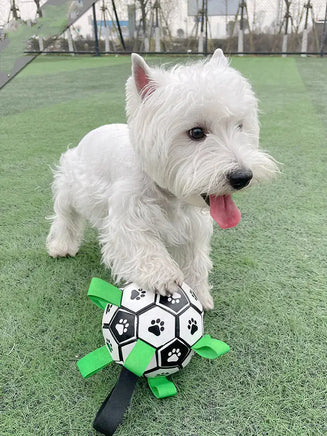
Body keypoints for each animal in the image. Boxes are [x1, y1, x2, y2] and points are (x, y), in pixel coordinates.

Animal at [46, 50, 276, 310]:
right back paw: (61, 246)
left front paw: (199, 293)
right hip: (69, 187)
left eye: (240, 126)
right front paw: (163, 275)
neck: (169, 195)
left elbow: (195, 260)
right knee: (65, 217)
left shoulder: (192, 227)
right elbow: (143, 245)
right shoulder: (128, 216)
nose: (243, 177)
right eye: (196, 132)